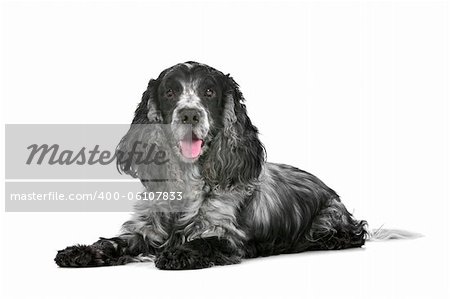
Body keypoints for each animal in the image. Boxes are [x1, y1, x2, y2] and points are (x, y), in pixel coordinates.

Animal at [54, 62, 414, 270]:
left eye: (209, 91)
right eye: (169, 92)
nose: (189, 114)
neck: (187, 183)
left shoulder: (229, 235)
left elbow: (203, 242)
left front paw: (177, 253)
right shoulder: (145, 229)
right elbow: (114, 241)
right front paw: (79, 251)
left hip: (330, 220)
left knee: (353, 234)